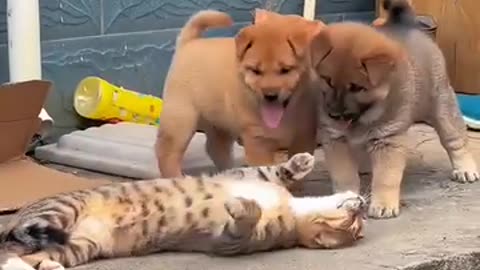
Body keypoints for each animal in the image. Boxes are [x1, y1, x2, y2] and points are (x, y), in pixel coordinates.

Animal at [0, 153, 364, 268]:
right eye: (355, 222)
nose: (361, 205)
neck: (292, 208)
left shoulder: (229, 239)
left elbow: (245, 219)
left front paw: (243, 206)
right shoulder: (243, 176)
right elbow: (272, 170)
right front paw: (301, 162)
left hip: (75, 246)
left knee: (18, 256)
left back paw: (42, 267)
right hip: (58, 215)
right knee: (10, 248)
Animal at [156, 8, 324, 177]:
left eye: (285, 70)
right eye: (255, 71)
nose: (270, 95)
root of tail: (188, 43)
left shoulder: (303, 138)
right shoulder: (258, 141)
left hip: (220, 123)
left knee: (215, 148)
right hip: (182, 120)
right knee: (167, 153)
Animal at [310, 0, 478, 219]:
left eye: (356, 87)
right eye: (328, 81)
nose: (333, 115)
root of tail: (405, 24)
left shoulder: (388, 139)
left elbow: (386, 176)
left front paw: (383, 205)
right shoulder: (336, 140)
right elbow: (344, 175)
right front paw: (346, 197)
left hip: (441, 104)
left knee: (455, 139)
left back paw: (465, 168)